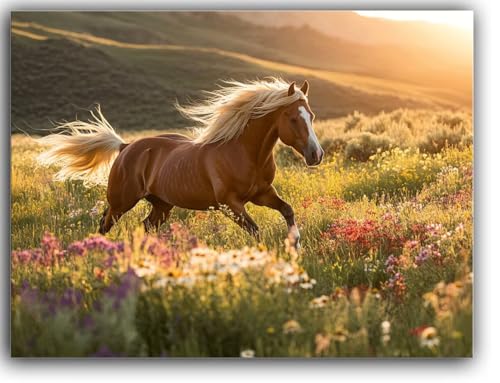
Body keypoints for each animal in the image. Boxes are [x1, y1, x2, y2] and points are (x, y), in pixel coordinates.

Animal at [36, 77, 324, 249]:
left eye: (311, 115)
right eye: (292, 118)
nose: (316, 154)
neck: (244, 153)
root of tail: (126, 147)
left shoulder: (262, 194)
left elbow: (287, 210)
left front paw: (296, 245)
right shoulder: (230, 203)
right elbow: (255, 230)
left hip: (162, 205)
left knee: (145, 226)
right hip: (121, 202)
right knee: (105, 224)